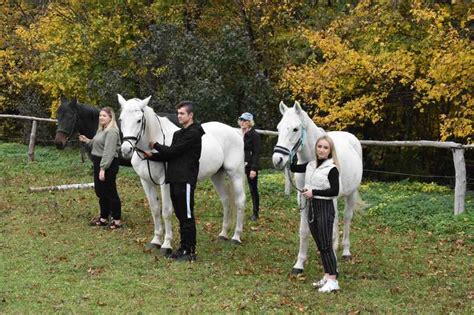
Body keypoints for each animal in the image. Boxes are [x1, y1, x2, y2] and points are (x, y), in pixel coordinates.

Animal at [118, 94, 246, 254]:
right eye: (121, 120)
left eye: (139, 120)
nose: (126, 150)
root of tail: (235, 131)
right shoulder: (146, 182)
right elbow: (155, 210)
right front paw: (155, 241)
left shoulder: (165, 183)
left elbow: (166, 211)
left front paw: (166, 245)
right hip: (217, 176)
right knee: (226, 200)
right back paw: (223, 234)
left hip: (236, 174)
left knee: (240, 201)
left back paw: (236, 237)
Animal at [272, 101, 362, 274]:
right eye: (278, 128)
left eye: (295, 129)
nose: (277, 159)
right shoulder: (303, 197)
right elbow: (304, 230)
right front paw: (299, 264)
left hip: (351, 193)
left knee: (347, 218)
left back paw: (345, 251)